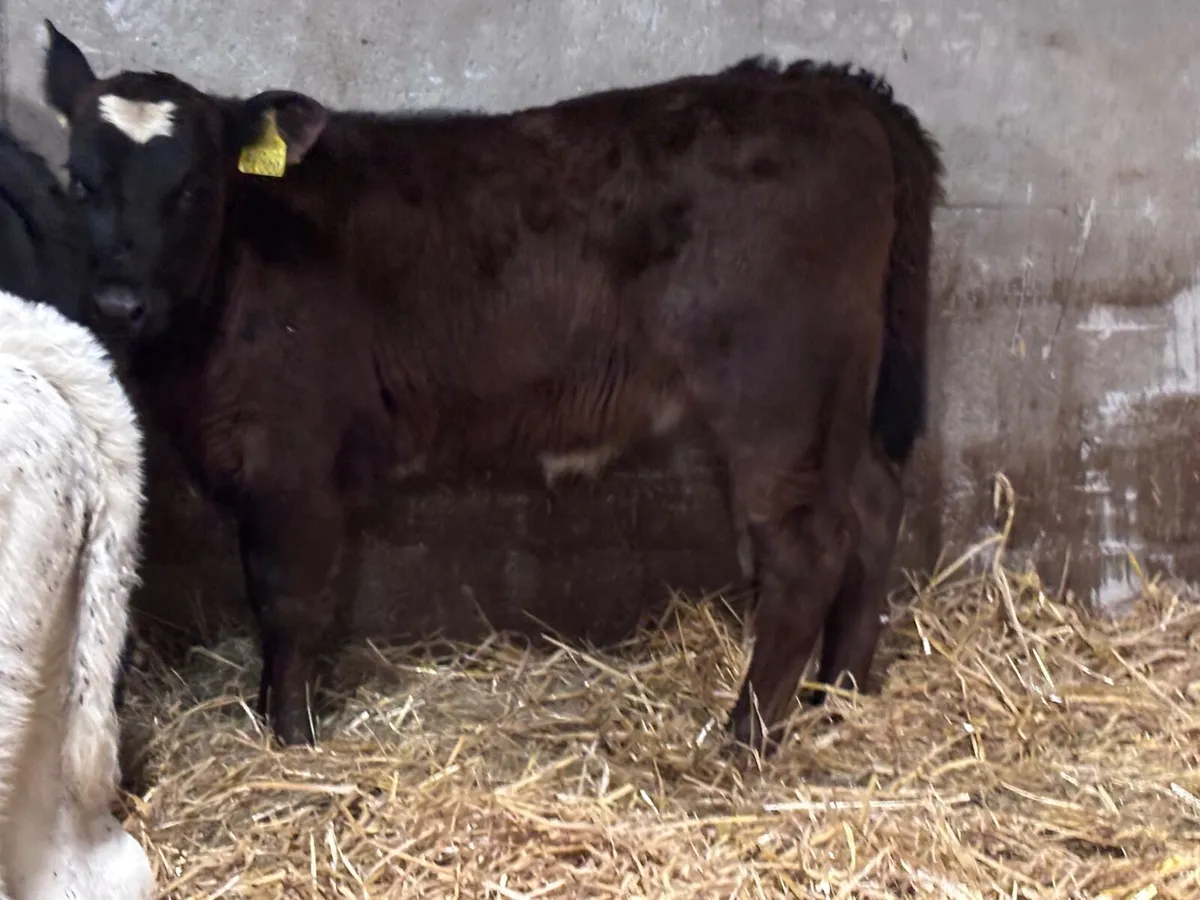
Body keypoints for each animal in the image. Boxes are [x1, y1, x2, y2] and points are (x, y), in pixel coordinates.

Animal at [42, 21, 944, 753]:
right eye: (78, 181)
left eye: (193, 188)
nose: (119, 301)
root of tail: (827, 87)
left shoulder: (292, 460)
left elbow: (285, 601)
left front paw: (291, 737)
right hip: (838, 401)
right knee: (873, 507)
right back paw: (841, 694)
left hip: (777, 393)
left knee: (807, 549)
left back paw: (749, 735)